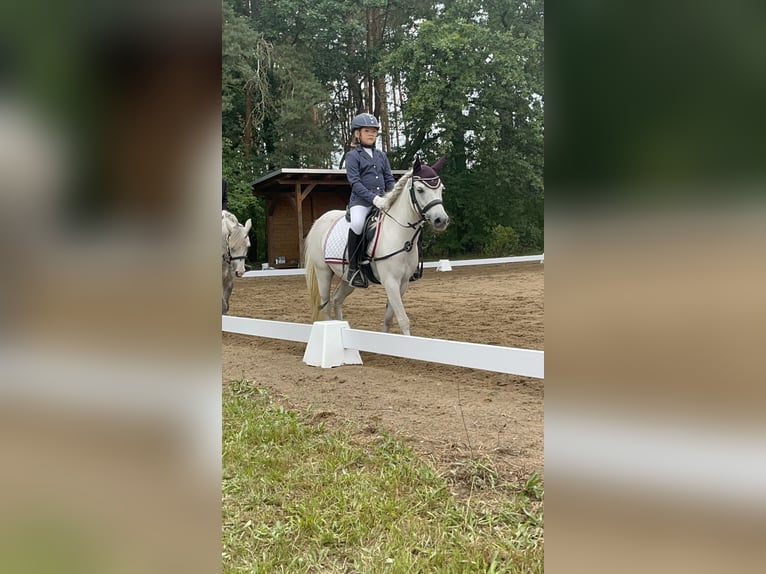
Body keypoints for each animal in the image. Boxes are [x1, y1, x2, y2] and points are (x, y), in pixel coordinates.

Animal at [304, 155, 449, 336]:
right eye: (420, 189)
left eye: (441, 189)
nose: (441, 220)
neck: (398, 233)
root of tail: (320, 220)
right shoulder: (390, 282)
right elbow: (403, 319)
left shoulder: (402, 283)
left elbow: (389, 317)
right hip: (323, 273)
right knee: (326, 305)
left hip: (347, 279)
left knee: (337, 299)